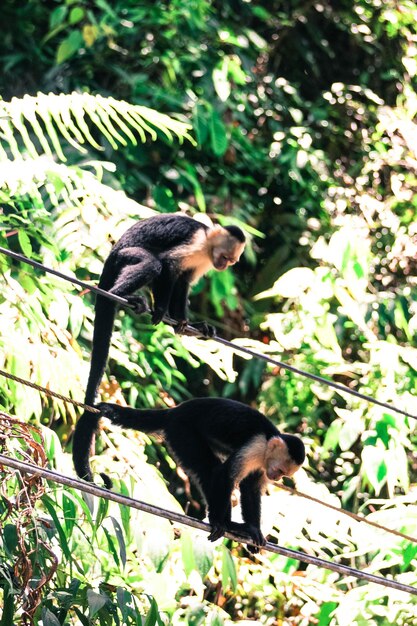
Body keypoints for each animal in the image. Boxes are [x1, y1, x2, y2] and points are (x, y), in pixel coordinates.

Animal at [73, 214, 245, 482]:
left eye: (231, 261)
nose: (223, 266)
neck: (207, 244)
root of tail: (110, 255)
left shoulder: (202, 262)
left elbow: (184, 280)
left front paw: (185, 323)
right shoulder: (195, 242)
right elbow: (169, 265)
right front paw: (162, 310)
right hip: (123, 257)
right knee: (152, 264)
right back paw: (122, 294)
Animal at [92, 398, 304, 548]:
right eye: (281, 471)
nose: (277, 477)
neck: (269, 441)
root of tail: (175, 410)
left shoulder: (263, 463)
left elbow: (250, 488)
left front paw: (253, 529)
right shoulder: (255, 446)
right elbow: (226, 475)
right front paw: (220, 521)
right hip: (181, 430)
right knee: (209, 469)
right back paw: (225, 523)